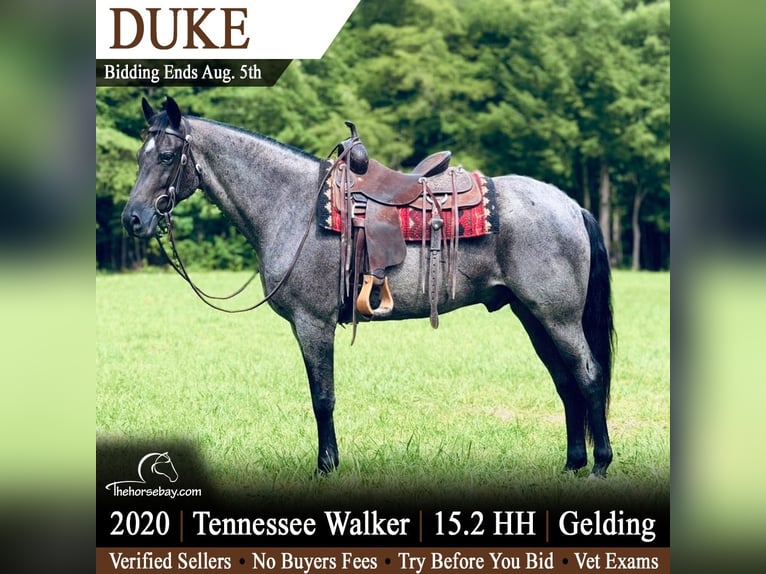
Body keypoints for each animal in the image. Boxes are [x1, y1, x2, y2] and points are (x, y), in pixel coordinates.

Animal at [121, 97, 615, 478]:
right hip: (532, 315)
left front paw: (325, 467)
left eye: (166, 157)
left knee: (589, 376)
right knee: (565, 381)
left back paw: (599, 464)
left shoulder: (312, 323)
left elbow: (322, 398)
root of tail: (570, 205)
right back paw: (572, 463)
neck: (293, 206)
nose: (133, 219)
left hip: (557, 317)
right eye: (140, 156)